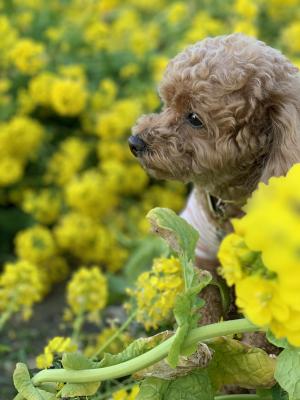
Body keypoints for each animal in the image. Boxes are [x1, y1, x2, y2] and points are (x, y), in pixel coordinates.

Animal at [129, 32, 300, 324]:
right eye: (167, 102)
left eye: (194, 118)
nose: (134, 142)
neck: (227, 199)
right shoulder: (200, 254)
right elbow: (202, 304)